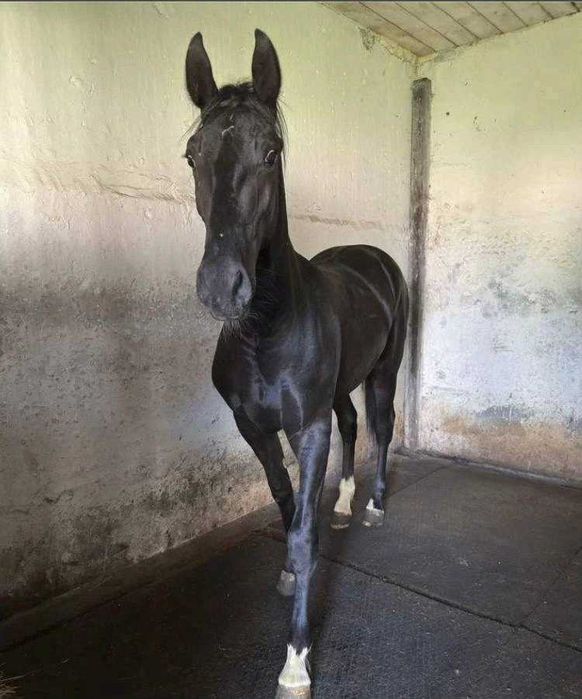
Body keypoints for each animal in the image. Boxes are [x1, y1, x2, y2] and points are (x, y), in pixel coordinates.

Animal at [184, 29, 408, 698]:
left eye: (272, 151)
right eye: (191, 155)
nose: (221, 288)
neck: (266, 329)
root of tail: (374, 257)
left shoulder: (307, 428)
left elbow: (304, 532)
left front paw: (296, 661)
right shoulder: (255, 428)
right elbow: (286, 504)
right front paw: (287, 572)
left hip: (382, 374)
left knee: (381, 428)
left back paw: (374, 506)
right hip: (340, 388)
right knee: (354, 426)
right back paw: (344, 505)